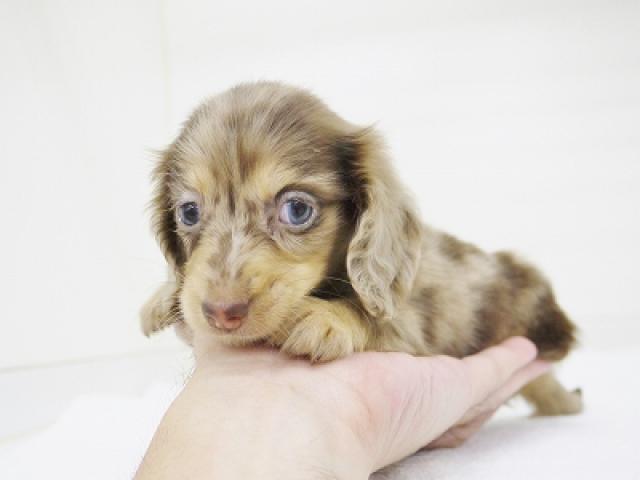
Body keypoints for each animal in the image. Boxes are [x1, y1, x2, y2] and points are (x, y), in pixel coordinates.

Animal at [141, 81, 582, 416]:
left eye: (297, 209)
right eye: (189, 212)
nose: (222, 313)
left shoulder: (414, 329)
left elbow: (375, 317)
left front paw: (326, 317)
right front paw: (162, 296)